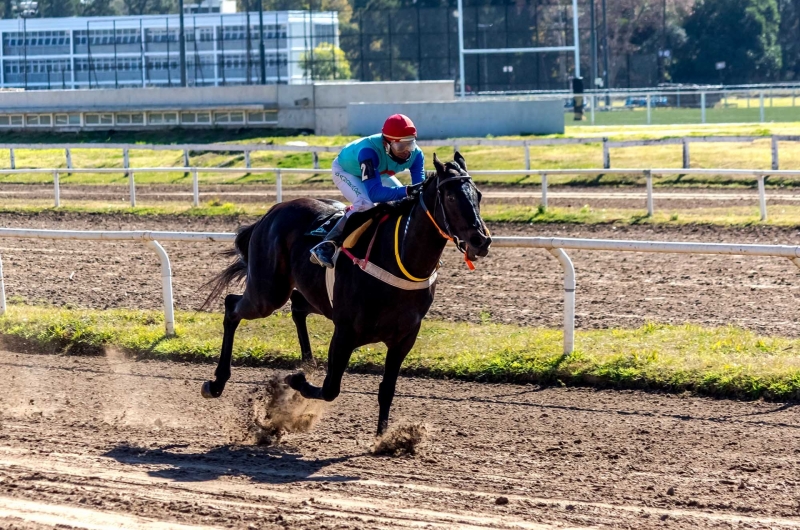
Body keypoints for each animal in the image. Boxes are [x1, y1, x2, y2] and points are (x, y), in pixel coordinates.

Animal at [200, 151, 490, 432]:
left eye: (478, 195)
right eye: (450, 197)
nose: (482, 240)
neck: (399, 258)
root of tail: (271, 212)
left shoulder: (404, 338)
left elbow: (387, 390)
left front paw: (384, 439)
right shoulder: (345, 331)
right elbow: (330, 388)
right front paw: (295, 380)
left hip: (312, 295)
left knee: (297, 307)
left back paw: (308, 363)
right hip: (267, 294)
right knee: (232, 306)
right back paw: (216, 383)